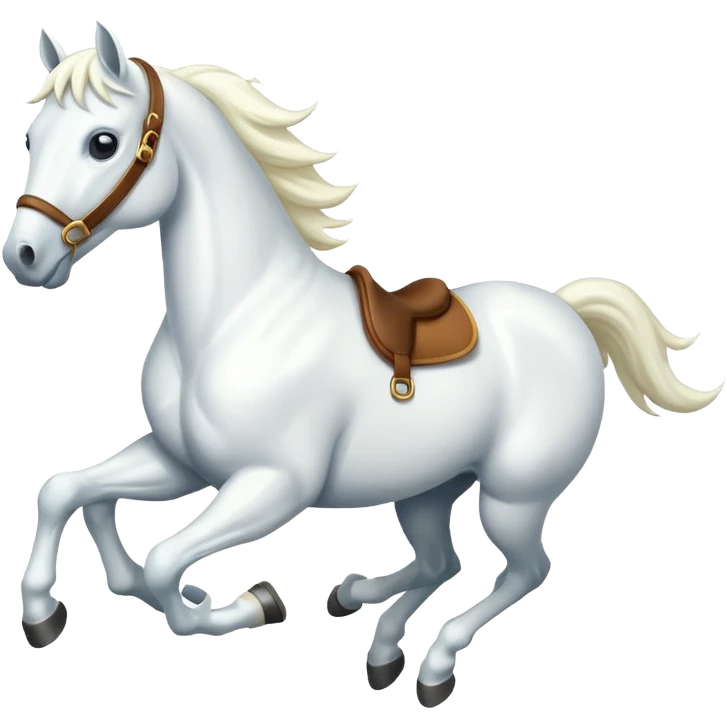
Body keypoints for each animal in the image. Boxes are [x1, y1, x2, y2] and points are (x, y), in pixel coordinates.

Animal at [5, 21, 722, 708]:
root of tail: (568, 314)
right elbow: (68, 490)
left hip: (512, 497)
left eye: (102, 142)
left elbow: (162, 568)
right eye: (32, 136)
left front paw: (251, 601)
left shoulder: (272, 486)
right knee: (441, 563)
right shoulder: (183, 461)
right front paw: (46, 612)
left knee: (521, 570)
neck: (238, 316)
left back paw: (432, 665)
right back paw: (374, 635)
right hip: (427, 487)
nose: (25, 256)